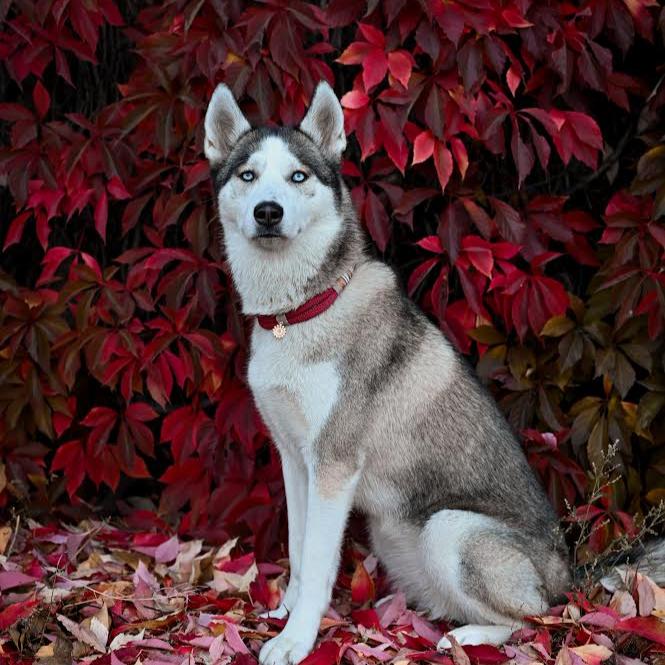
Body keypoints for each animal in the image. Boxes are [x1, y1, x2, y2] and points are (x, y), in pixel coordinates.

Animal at [204, 81, 572, 664]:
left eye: (298, 177)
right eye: (247, 175)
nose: (267, 212)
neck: (300, 313)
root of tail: (568, 574)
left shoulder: (333, 464)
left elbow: (318, 563)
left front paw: (296, 640)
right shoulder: (295, 458)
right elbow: (299, 551)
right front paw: (286, 613)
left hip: (450, 530)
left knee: (532, 621)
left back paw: (467, 637)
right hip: (395, 538)